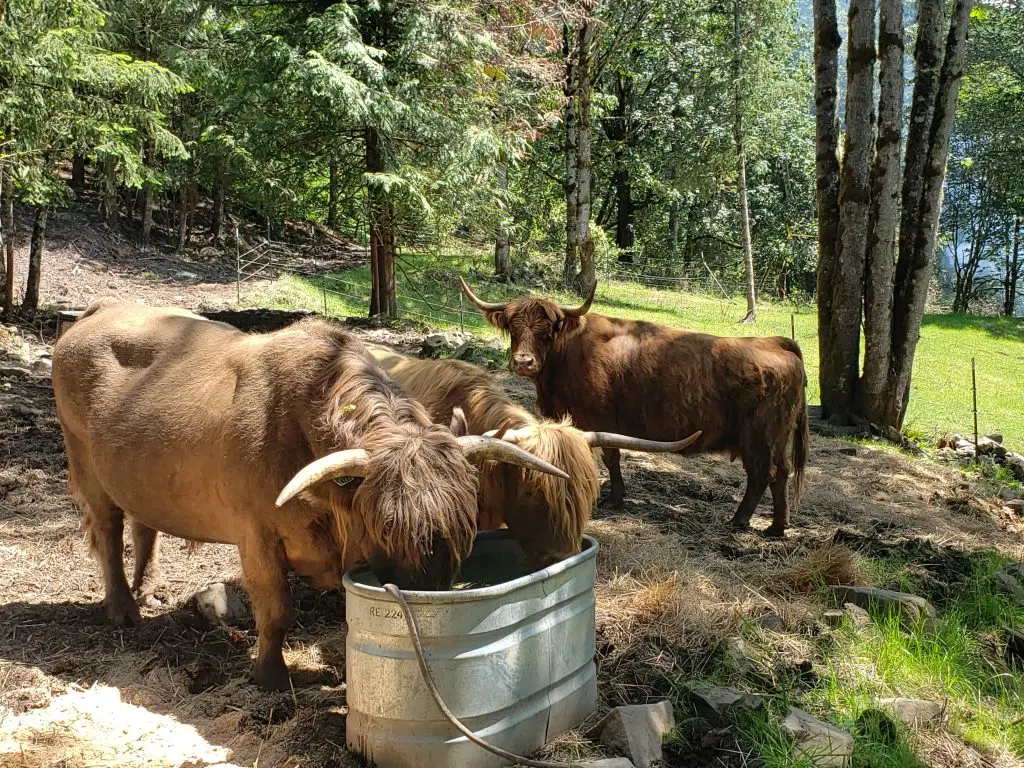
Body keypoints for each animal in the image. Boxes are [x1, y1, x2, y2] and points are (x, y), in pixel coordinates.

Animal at [51, 301, 570, 691]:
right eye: (387, 526)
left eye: (464, 527)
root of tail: (98, 311)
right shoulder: (256, 535)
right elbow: (276, 610)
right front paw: (271, 677)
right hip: (86, 466)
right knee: (108, 531)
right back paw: (123, 609)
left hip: (137, 473)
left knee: (144, 523)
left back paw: (148, 588)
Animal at [458, 279, 809, 538]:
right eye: (514, 329)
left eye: (546, 332)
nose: (523, 362)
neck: (564, 358)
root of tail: (775, 342)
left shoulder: (597, 418)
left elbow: (610, 457)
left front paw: (613, 498)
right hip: (775, 441)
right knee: (781, 474)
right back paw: (776, 528)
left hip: (759, 438)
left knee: (763, 475)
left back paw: (740, 520)